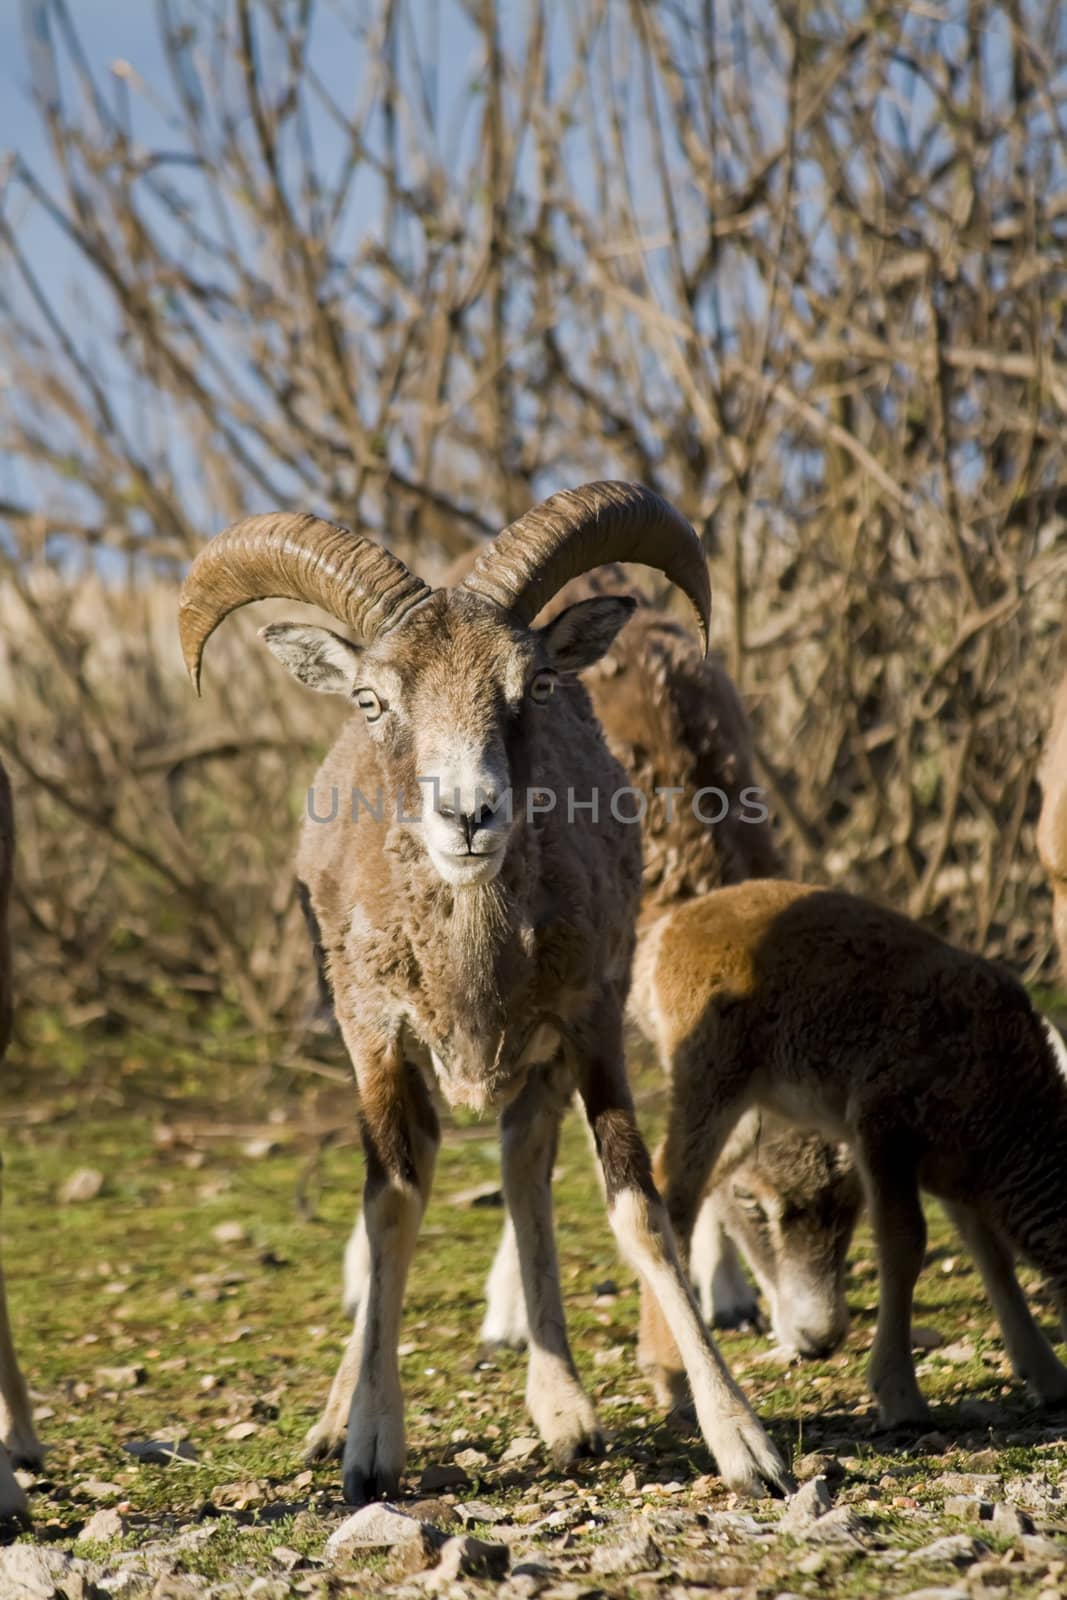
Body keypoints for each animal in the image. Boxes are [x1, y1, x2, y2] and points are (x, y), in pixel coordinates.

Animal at [177, 476, 793, 1497]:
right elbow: (390, 1209)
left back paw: (564, 1412)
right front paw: (367, 1449)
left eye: (533, 685)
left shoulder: (588, 1026)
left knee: (521, 1167)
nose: (469, 815)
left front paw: (747, 1448)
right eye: (373, 698)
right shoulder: (378, 1040)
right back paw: (337, 1418)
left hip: (537, 1067)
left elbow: (638, 1212)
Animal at [630, 876, 1067, 1427]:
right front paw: (900, 1397)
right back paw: (671, 1378)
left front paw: (1047, 1376)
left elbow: (992, 1253)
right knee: (673, 1189)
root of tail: (668, 931)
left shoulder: (955, 1173)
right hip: (708, 1073)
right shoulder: (883, 1125)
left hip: (751, 1109)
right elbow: (904, 1244)